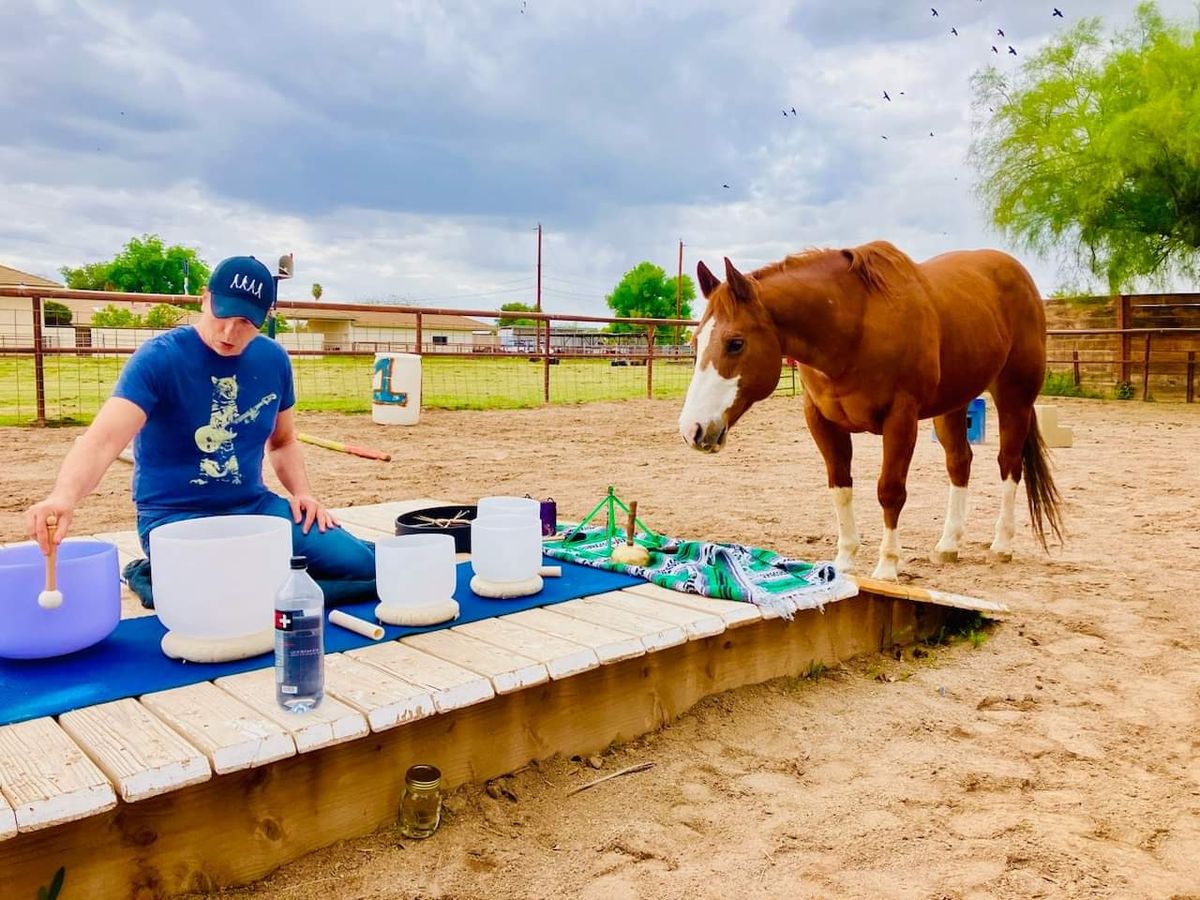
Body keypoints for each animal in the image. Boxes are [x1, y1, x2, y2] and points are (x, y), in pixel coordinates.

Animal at [681, 241, 1065, 578]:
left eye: (735, 343)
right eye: (696, 341)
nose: (692, 430)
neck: (852, 330)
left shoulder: (901, 419)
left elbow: (890, 491)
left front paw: (887, 566)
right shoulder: (822, 421)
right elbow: (841, 487)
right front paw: (844, 561)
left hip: (1014, 398)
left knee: (1008, 464)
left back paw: (1002, 545)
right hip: (953, 406)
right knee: (960, 463)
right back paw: (948, 545)